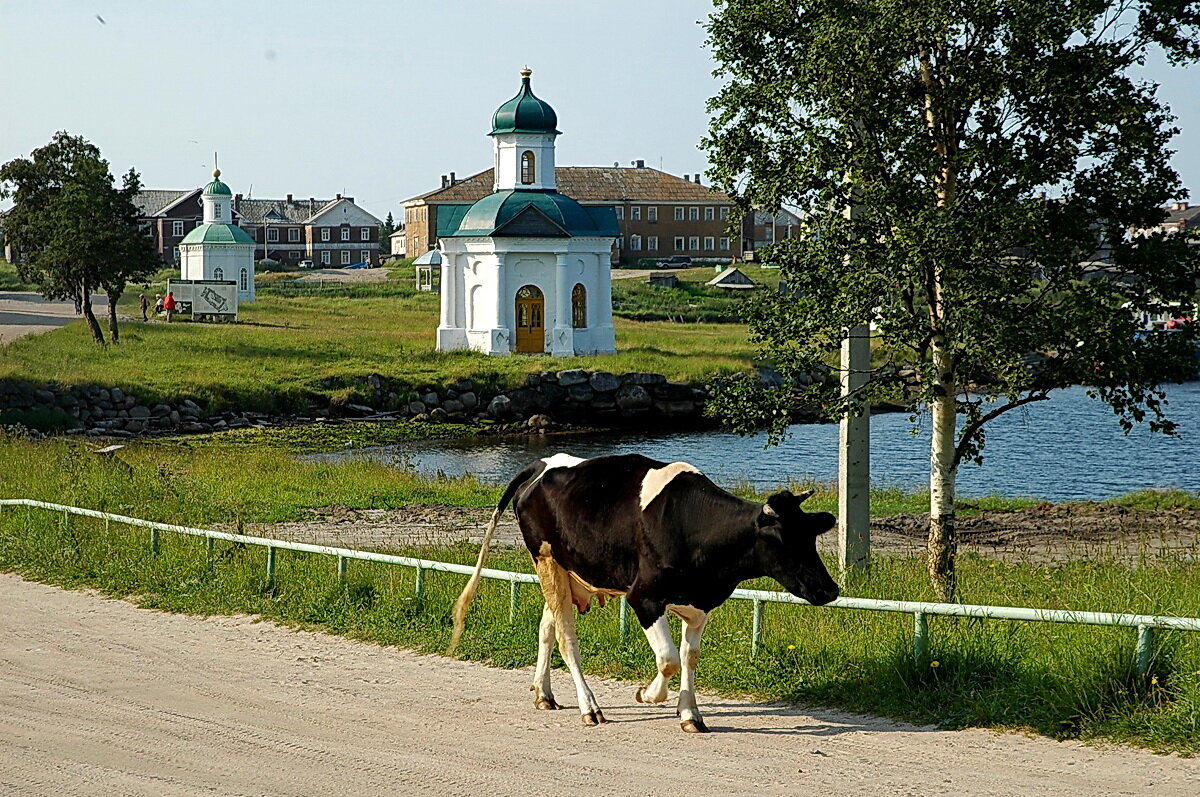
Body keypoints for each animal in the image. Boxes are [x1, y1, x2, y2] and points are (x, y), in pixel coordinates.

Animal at [448, 453, 835, 734]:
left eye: (812, 537)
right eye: (782, 539)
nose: (830, 589)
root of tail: (541, 464)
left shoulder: (701, 604)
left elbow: (689, 657)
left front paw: (690, 714)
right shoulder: (644, 598)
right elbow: (668, 659)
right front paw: (648, 695)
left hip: (568, 572)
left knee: (547, 627)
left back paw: (544, 694)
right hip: (546, 560)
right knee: (567, 638)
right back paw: (590, 708)